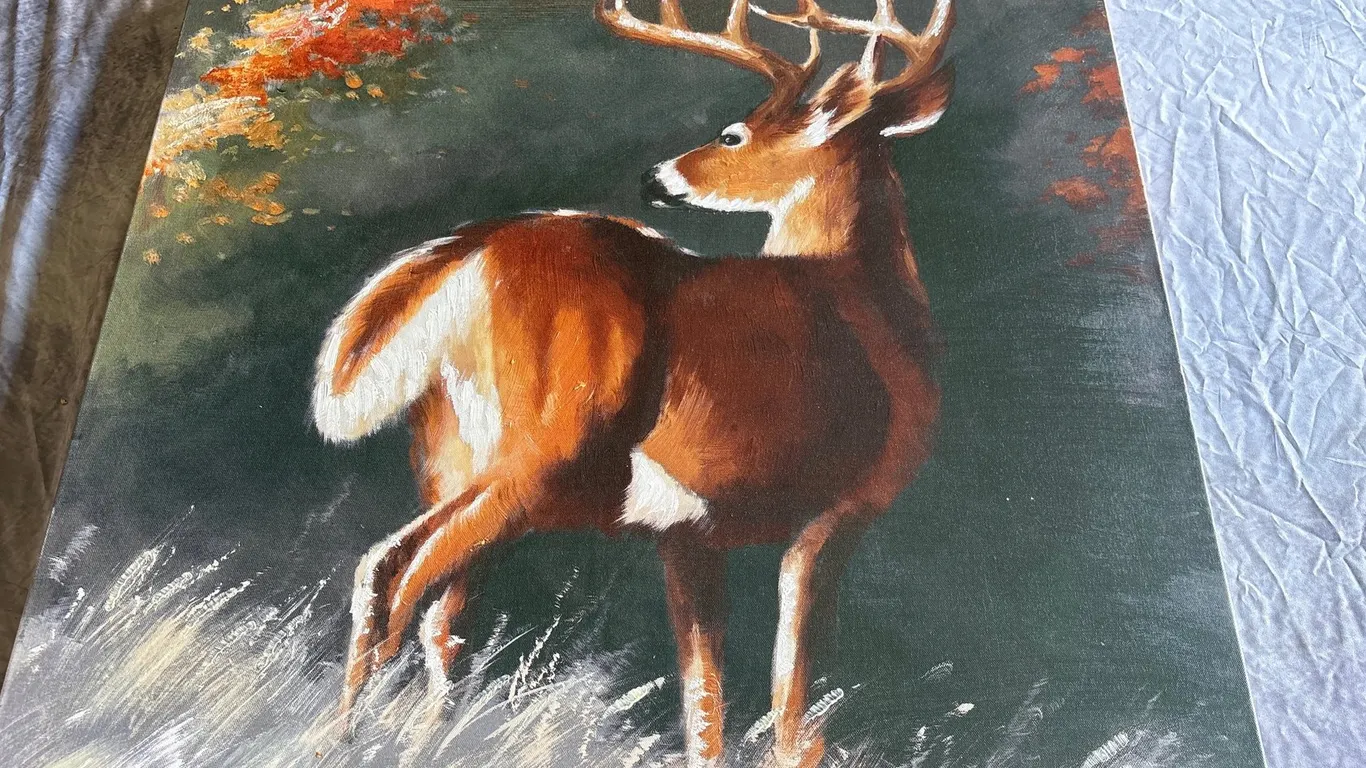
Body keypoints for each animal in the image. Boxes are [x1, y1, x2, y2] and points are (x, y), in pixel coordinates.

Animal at [311, 0, 954, 764]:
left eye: (731, 133)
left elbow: (705, 704)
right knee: (396, 570)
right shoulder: (845, 505)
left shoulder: (690, 531)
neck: (867, 295)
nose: (656, 177)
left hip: (449, 454)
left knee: (432, 610)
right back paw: (352, 737)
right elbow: (794, 708)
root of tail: (470, 248)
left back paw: (385, 735)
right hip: (543, 452)